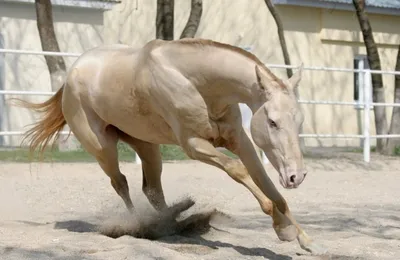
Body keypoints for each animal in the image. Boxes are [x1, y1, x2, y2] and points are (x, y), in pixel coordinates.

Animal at [16, 38, 324, 254]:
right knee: (121, 184)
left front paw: (303, 239)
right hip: (103, 150)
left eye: (299, 120)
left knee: (152, 190)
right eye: (272, 122)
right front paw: (282, 227)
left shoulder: (240, 141)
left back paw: (172, 223)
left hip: (148, 147)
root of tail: (70, 78)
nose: (296, 176)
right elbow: (239, 171)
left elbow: (270, 187)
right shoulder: (194, 145)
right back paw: (142, 226)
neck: (197, 82)